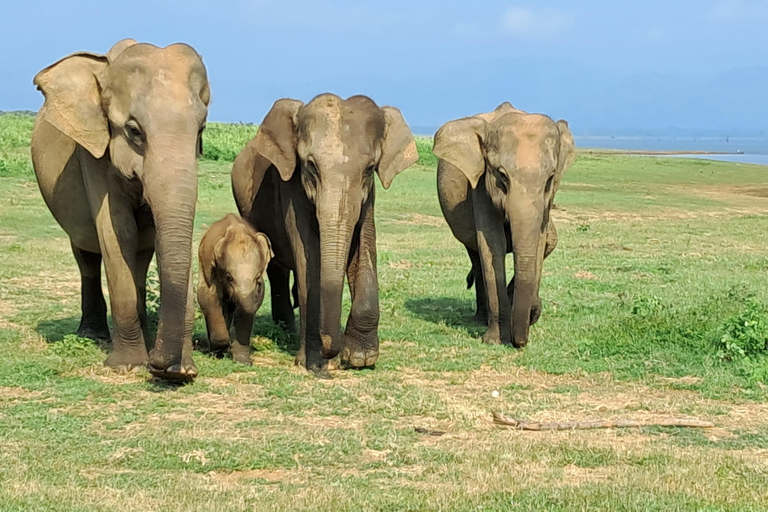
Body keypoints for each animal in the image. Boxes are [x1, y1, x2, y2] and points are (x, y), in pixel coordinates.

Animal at [31, 39, 210, 380]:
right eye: (133, 131)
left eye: (201, 131)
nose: (163, 366)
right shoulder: (93, 155)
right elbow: (118, 233)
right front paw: (128, 365)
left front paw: (181, 369)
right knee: (86, 253)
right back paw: (94, 334)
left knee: (140, 258)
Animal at [198, 215, 272, 364]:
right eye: (229, 277)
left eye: (257, 277)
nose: (260, 284)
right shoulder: (210, 269)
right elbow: (209, 298)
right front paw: (221, 349)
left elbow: (245, 312)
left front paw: (243, 362)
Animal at [231, 94, 416, 376]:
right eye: (311, 166)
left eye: (369, 168)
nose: (331, 349)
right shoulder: (292, 188)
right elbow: (309, 260)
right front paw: (317, 363)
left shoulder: (368, 197)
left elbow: (365, 246)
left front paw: (361, 358)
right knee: (276, 265)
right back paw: (286, 329)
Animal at [436, 100, 572, 348]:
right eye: (502, 176)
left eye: (549, 179)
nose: (520, 342)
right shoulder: (480, 184)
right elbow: (492, 244)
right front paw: (494, 340)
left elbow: (541, 240)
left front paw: (530, 312)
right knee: (476, 254)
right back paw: (481, 318)